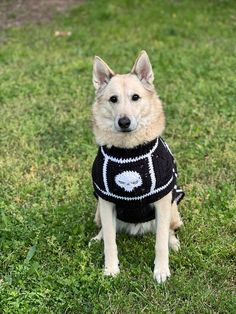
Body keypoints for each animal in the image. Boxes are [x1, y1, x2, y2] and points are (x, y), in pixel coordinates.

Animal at [90, 50, 184, 284]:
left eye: (135, 97)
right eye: (113, 99)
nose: (124, 122)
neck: (129, 151)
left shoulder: (162, 202)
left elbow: (160, 243)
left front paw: (161, 270)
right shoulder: (106, 202)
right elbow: (111, 243)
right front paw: (111, 269)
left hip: (172, 207)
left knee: (169, 231)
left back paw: (173, 242)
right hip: (99, 212)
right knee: (106, 231)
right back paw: (97, 238)